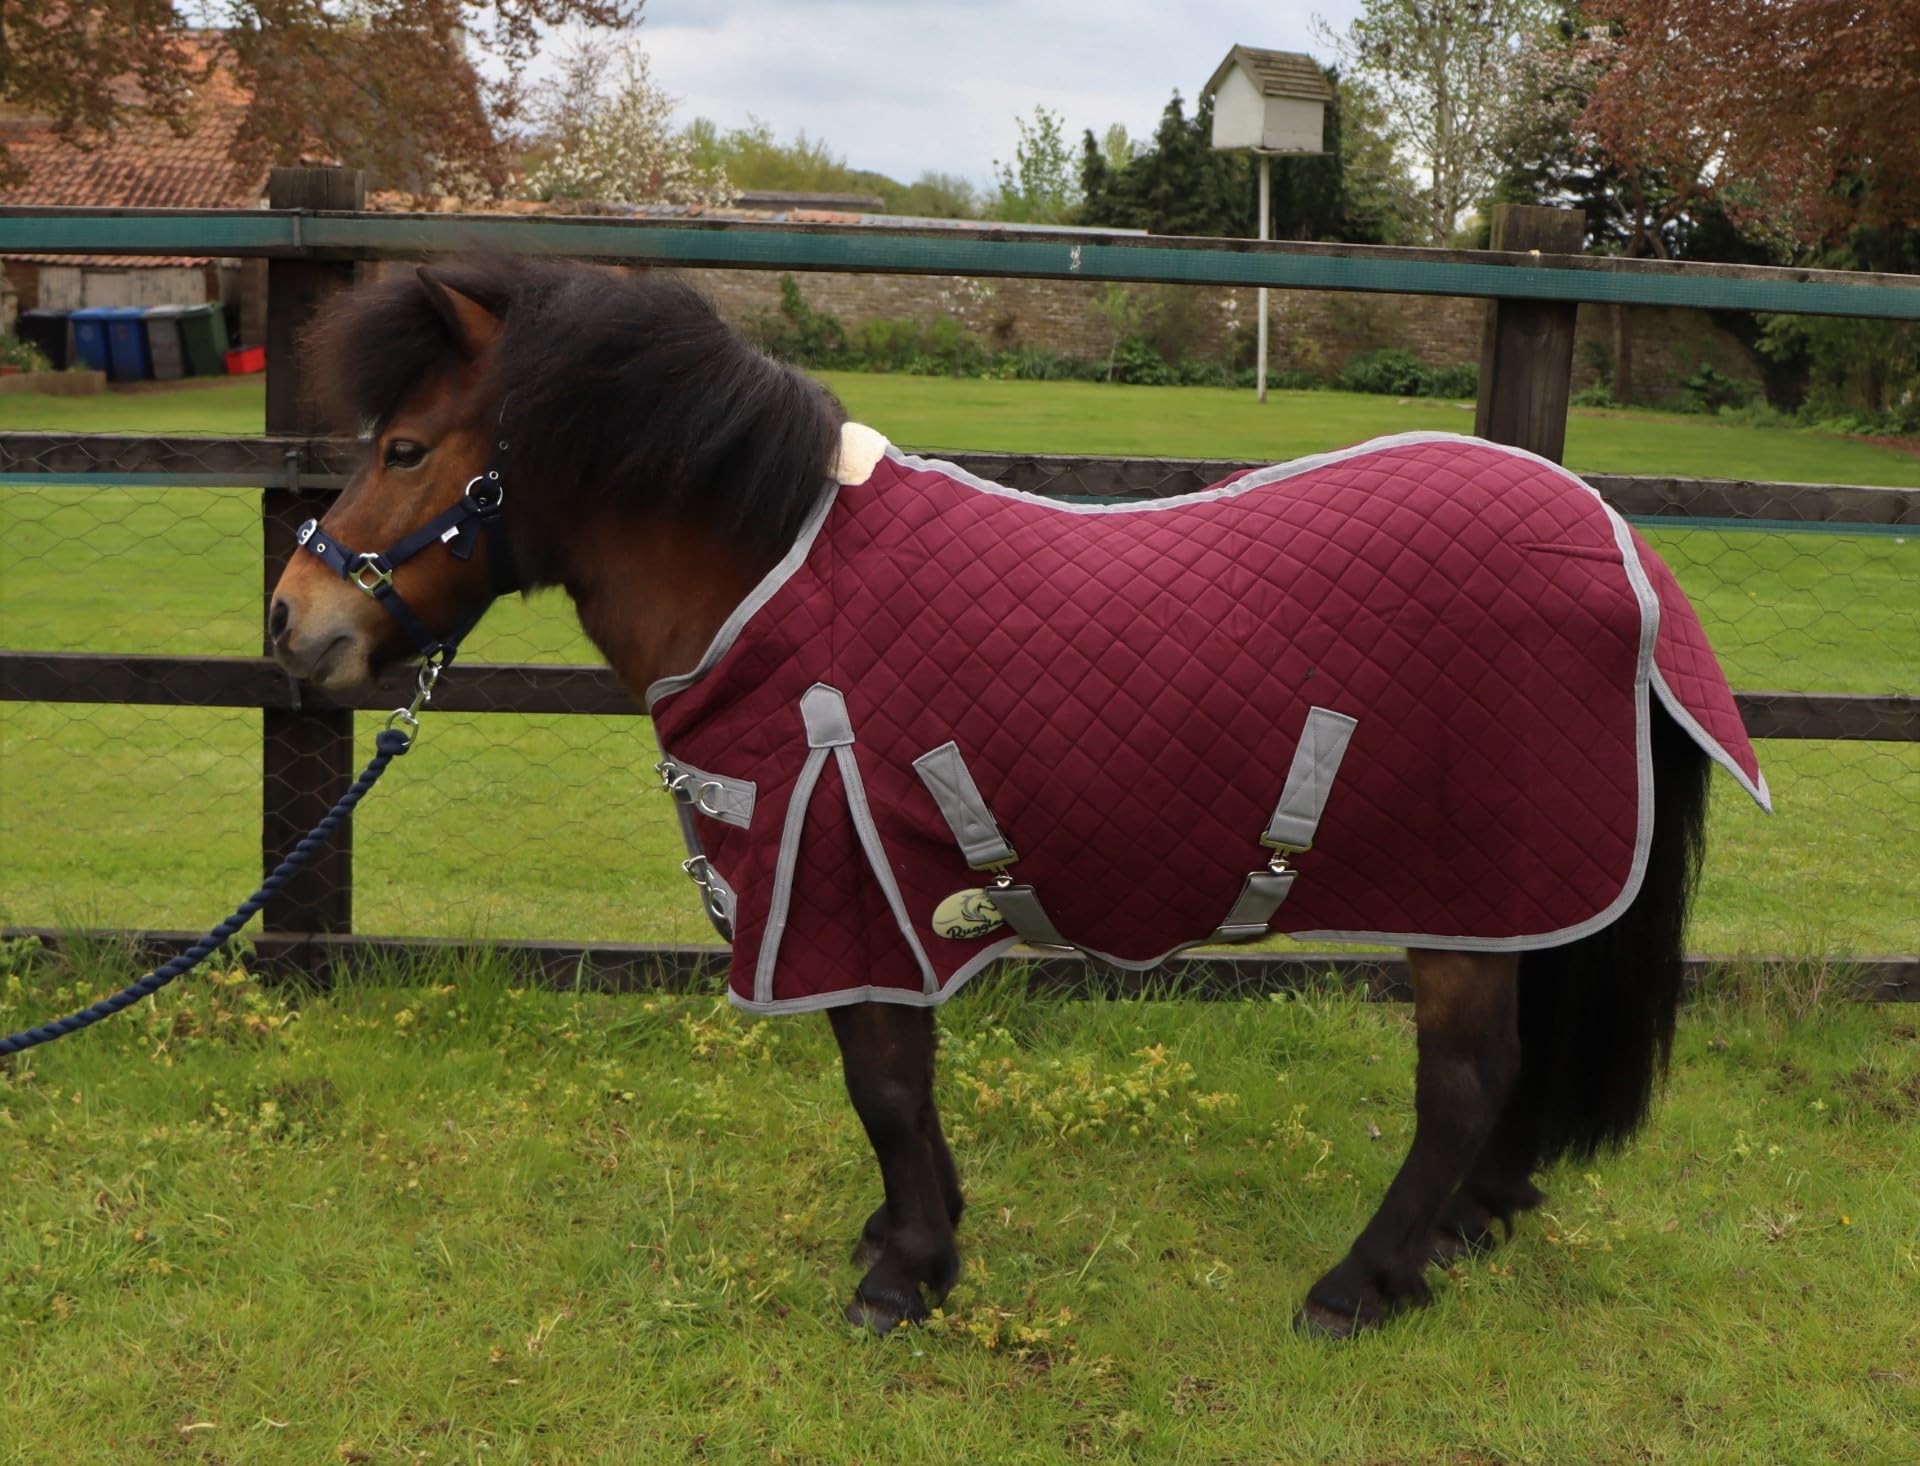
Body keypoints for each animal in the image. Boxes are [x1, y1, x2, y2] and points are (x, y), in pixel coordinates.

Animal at [269, 256, 1767, 1338]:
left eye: (406, 447)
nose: (293, 621)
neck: (769, 588)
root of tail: (1616, 539)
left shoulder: (842, 875)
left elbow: (881, 1079)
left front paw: (905, 1275)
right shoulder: (863, 890)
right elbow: (894, 1078)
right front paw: (911, 1233)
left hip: (1469, 890)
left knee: (1465, 1079)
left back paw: (1361, 1283)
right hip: (1513, 894)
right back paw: (1465, 1227)